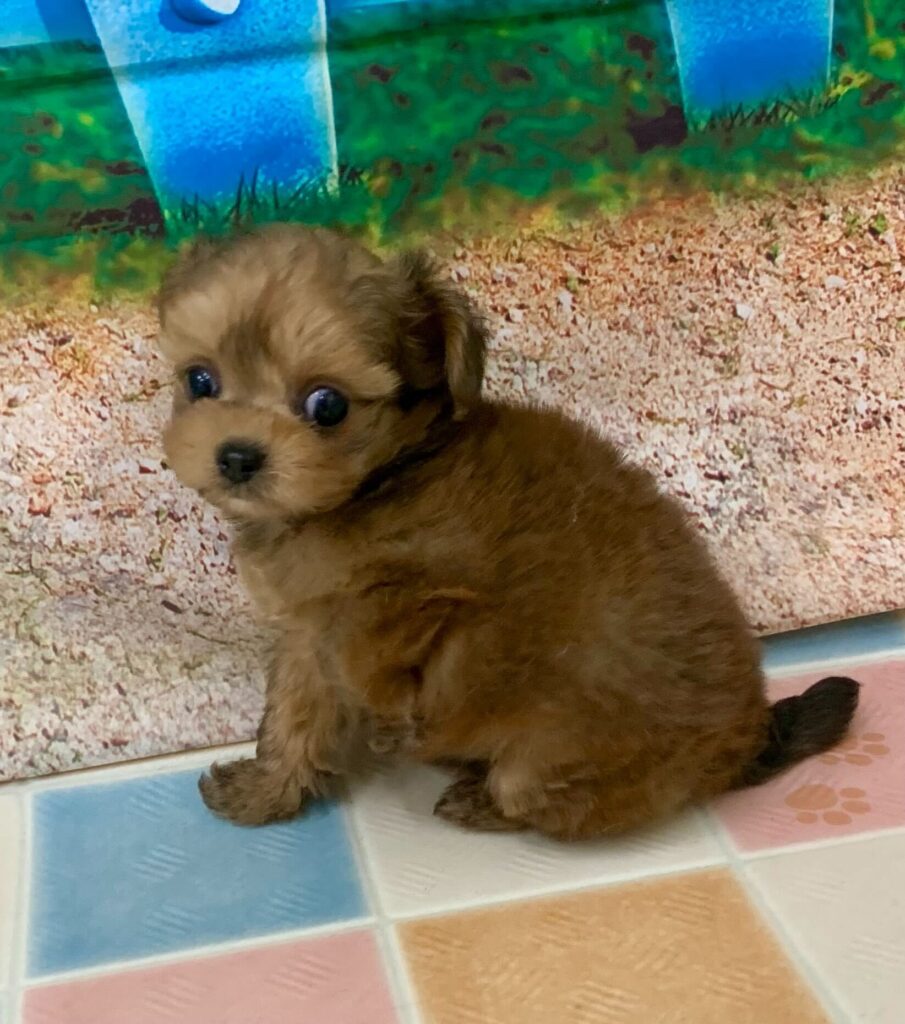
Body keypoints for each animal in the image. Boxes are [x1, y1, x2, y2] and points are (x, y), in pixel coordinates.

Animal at [157, 224, 859, 839]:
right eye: (201, 381)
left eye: (326, 406)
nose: (237, 456)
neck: (380, 479)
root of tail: (747, 738)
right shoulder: (305, 637)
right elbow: (292, 718)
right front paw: (265, 791)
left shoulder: (440, 599)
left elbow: (379, 652)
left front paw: (388, 725)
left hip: (551, 767)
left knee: (529, 795)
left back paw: (478, 797)